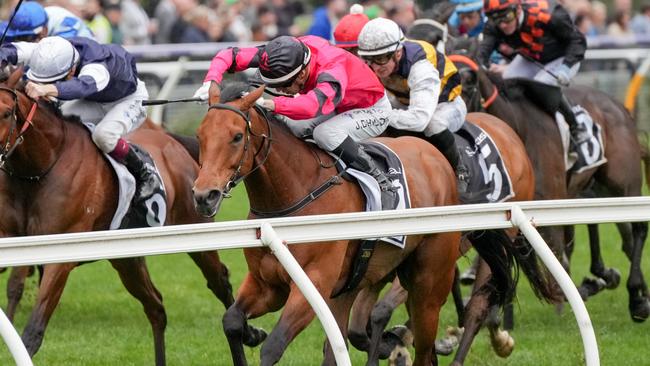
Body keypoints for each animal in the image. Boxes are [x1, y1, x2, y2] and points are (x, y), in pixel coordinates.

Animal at [0, 73, 264, 364]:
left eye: (6, 112)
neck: (38, 170)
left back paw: (250, 334)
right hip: (127, 259)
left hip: (196, 233)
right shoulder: (16, 243)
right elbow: (14, 288)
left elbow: (33, 330)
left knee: (219, 281)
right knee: (156, 307)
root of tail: (173, 143)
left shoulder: (60, 257)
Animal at [190, 83, 556, 366]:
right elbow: (232, 321)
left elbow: (274, 346)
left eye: (237, 136)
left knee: (446, 328)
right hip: (366, 275)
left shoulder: (312, 285)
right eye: (200, 135)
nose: (204, 195)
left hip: (429, 279)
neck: (293, 199)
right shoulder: (268, 285)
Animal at [446, 49, 648, 324]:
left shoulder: (548, 201)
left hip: (623, 184)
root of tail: (618, 106)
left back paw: (636, 297)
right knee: (626, 239)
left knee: (638, 230)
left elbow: (556, 259)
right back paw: (638, 293)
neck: (517, 128)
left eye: (468, 84)